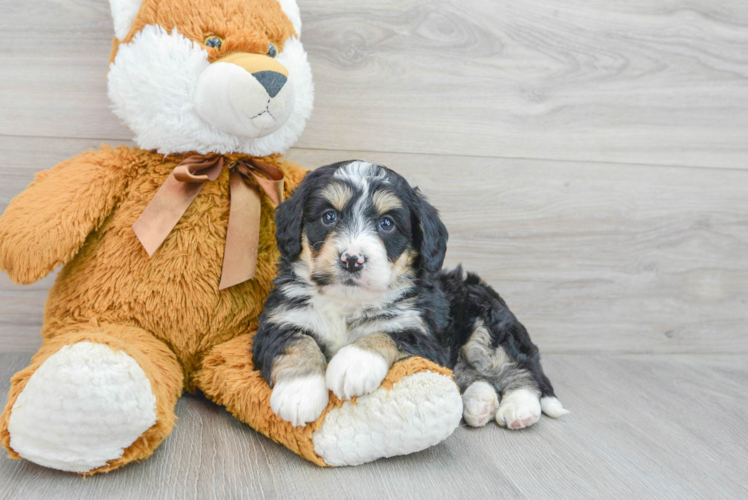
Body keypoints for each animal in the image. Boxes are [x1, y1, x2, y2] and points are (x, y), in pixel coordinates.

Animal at [251, 162, 568, 428]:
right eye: (329, 217)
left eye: (386, 224)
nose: (352, 259)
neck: (348, 301)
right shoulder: (279, 321)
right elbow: (298, 343)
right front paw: (299, 393)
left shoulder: (422, 334)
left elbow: (386, 334)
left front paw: (353, 363)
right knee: (472, 375)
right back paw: (480, 402)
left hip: (488, 326)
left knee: (521, 369)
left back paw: (519, 408)